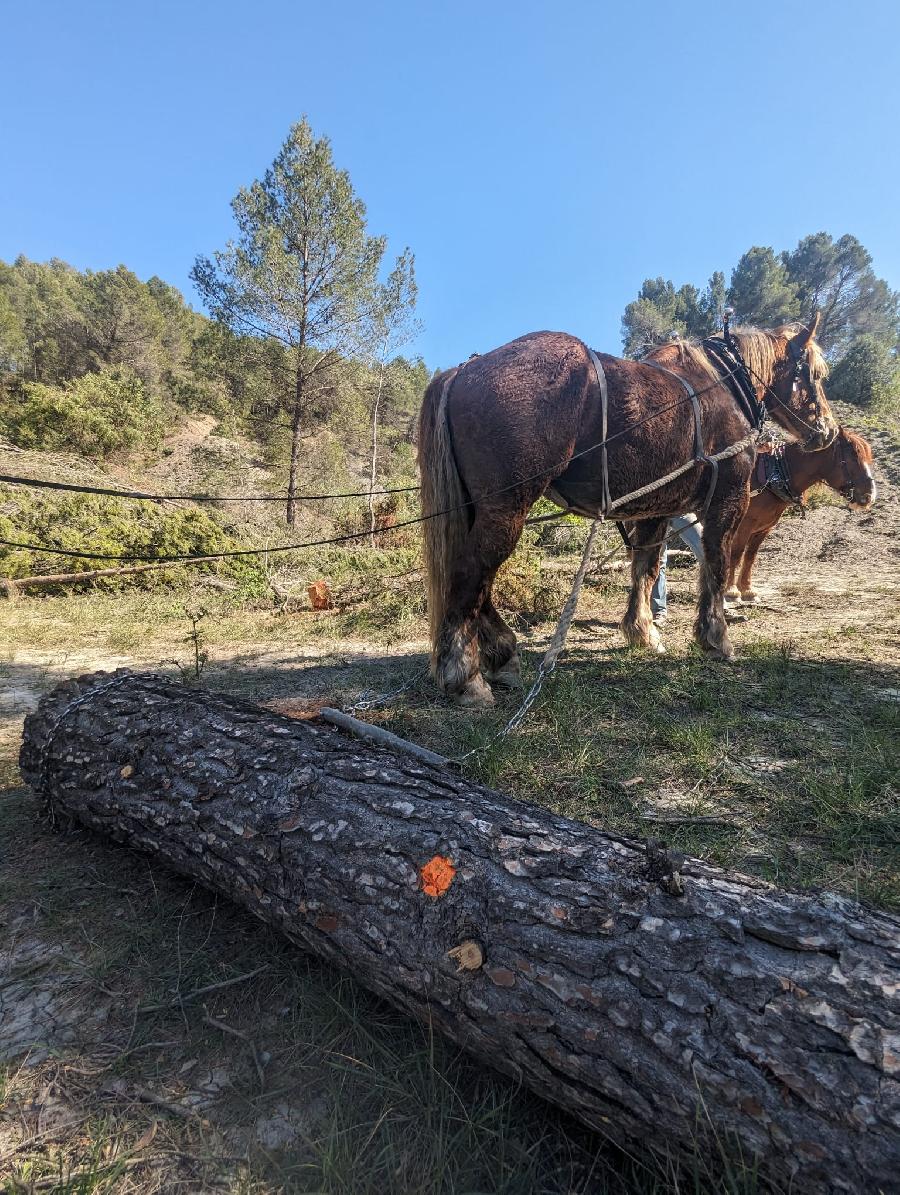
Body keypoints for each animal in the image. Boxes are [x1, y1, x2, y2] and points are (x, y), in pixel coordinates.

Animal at [418, 317, 841, 707]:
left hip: (482, 510)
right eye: (814, 374)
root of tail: (464, 369)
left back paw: (501, 655)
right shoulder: (727, 500)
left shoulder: (656, 510)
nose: (827, 430)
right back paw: (466, 677)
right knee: (471, 575)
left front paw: (642, 632)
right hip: (506, 510)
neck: (722, 383)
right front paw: (715, 637)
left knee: (475, 583)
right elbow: (716, 567)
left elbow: (645, 570)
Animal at [721, 427, 879, 607]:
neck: (772, 476)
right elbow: (736, 554)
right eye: (852, 459)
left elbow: (750, 557)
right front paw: (731, 591)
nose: (869, 496)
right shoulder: (743, 525)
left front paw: (747, 590)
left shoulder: (763, 528)